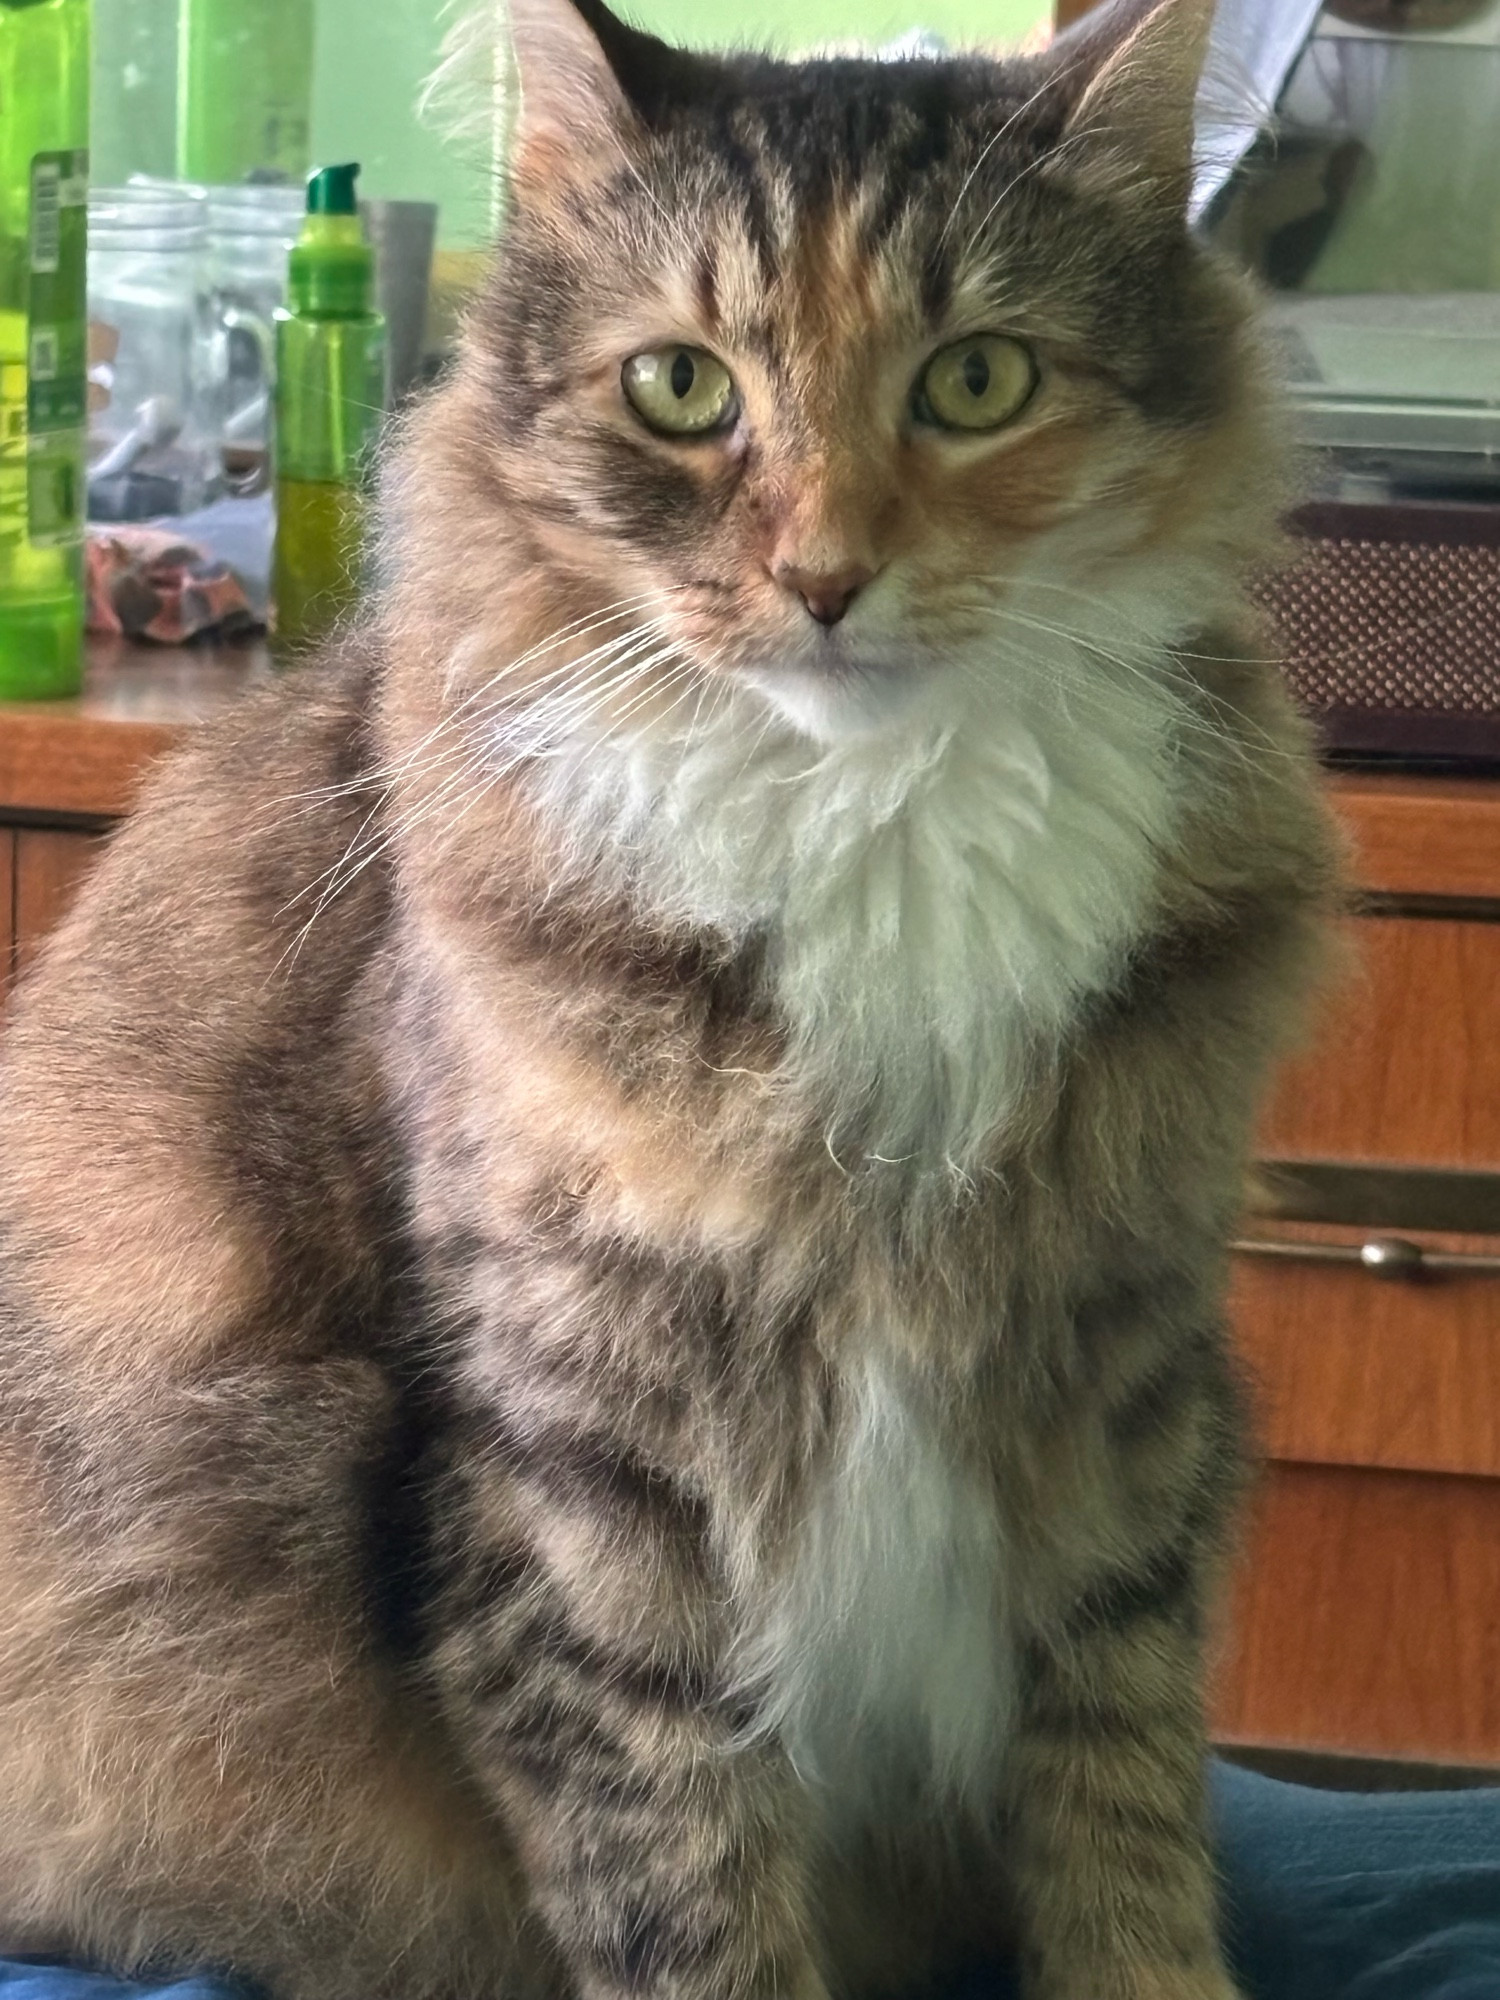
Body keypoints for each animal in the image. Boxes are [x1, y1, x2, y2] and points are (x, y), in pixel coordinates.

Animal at [0, 0, 1336, 1992]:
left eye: (977, 381)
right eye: (684, 391)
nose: (826, 577)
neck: (879, 830)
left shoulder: (1119, 1382)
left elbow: (1124, 1812)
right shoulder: (577, 1456)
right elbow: (680, 1870)